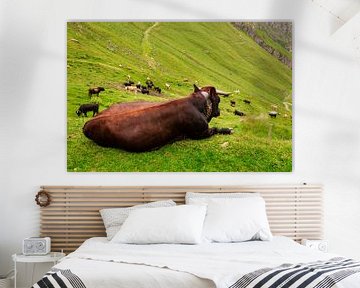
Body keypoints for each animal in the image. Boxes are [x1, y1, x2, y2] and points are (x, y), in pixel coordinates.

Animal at [82, 84, 232, 153]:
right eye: (218, 99)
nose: (218, 112)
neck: (198, 105)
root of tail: (88, 123)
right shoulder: (200, 132)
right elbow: (216, 129)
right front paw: (229, 129)